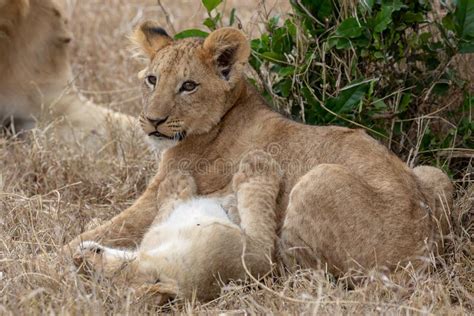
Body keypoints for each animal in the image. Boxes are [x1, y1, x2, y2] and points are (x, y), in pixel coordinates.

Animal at [68, 22, 454, 286]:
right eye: (152, 80)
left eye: (188, 86)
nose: (153, 120)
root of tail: (423, 260)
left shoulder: (159, 194)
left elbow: (105, 230)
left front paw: (63, 257)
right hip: (434, 173)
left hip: (318, 179)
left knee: (299, 269)